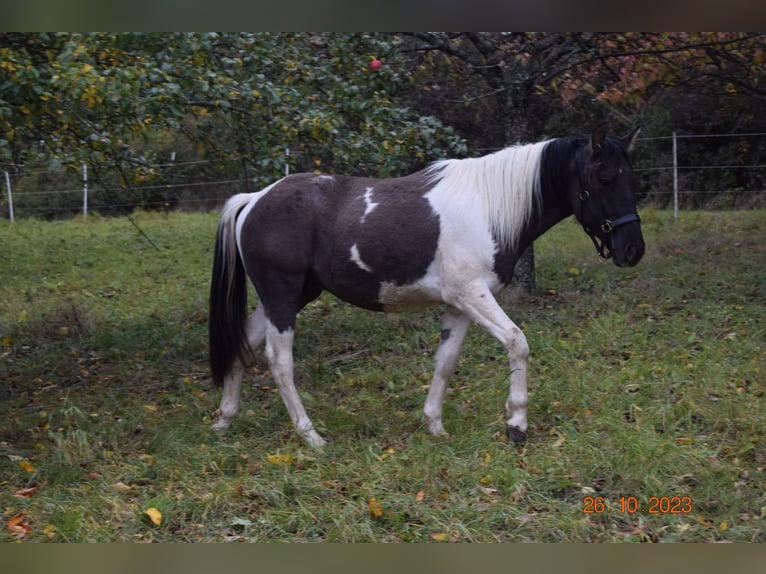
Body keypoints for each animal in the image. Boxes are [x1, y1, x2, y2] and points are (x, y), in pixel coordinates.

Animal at [207, 126, 644, 450]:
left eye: (630, 178)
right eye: (604, 178)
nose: (633, 250)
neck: (488, 206)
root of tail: (255, 199)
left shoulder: (459, 304)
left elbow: (445, 362)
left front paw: (434, 425)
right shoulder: (473, 296)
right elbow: (517, 342)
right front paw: (516, 422)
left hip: (287, 298)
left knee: (242, 345)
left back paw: (225, 419)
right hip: (282, 297)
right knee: (279, 362)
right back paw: (310, 435)